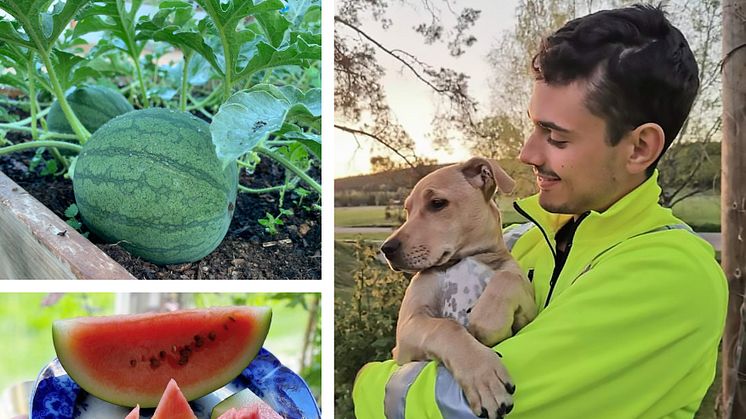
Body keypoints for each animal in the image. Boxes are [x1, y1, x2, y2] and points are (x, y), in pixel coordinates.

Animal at [384, 158, 536, 419]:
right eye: (407, 210)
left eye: (437, 203)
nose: (386, 249)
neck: (466, 257)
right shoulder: (406, 331)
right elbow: (446, 328)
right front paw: (484, 378)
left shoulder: (529, 311)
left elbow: (508, 278)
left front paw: (488, 320)